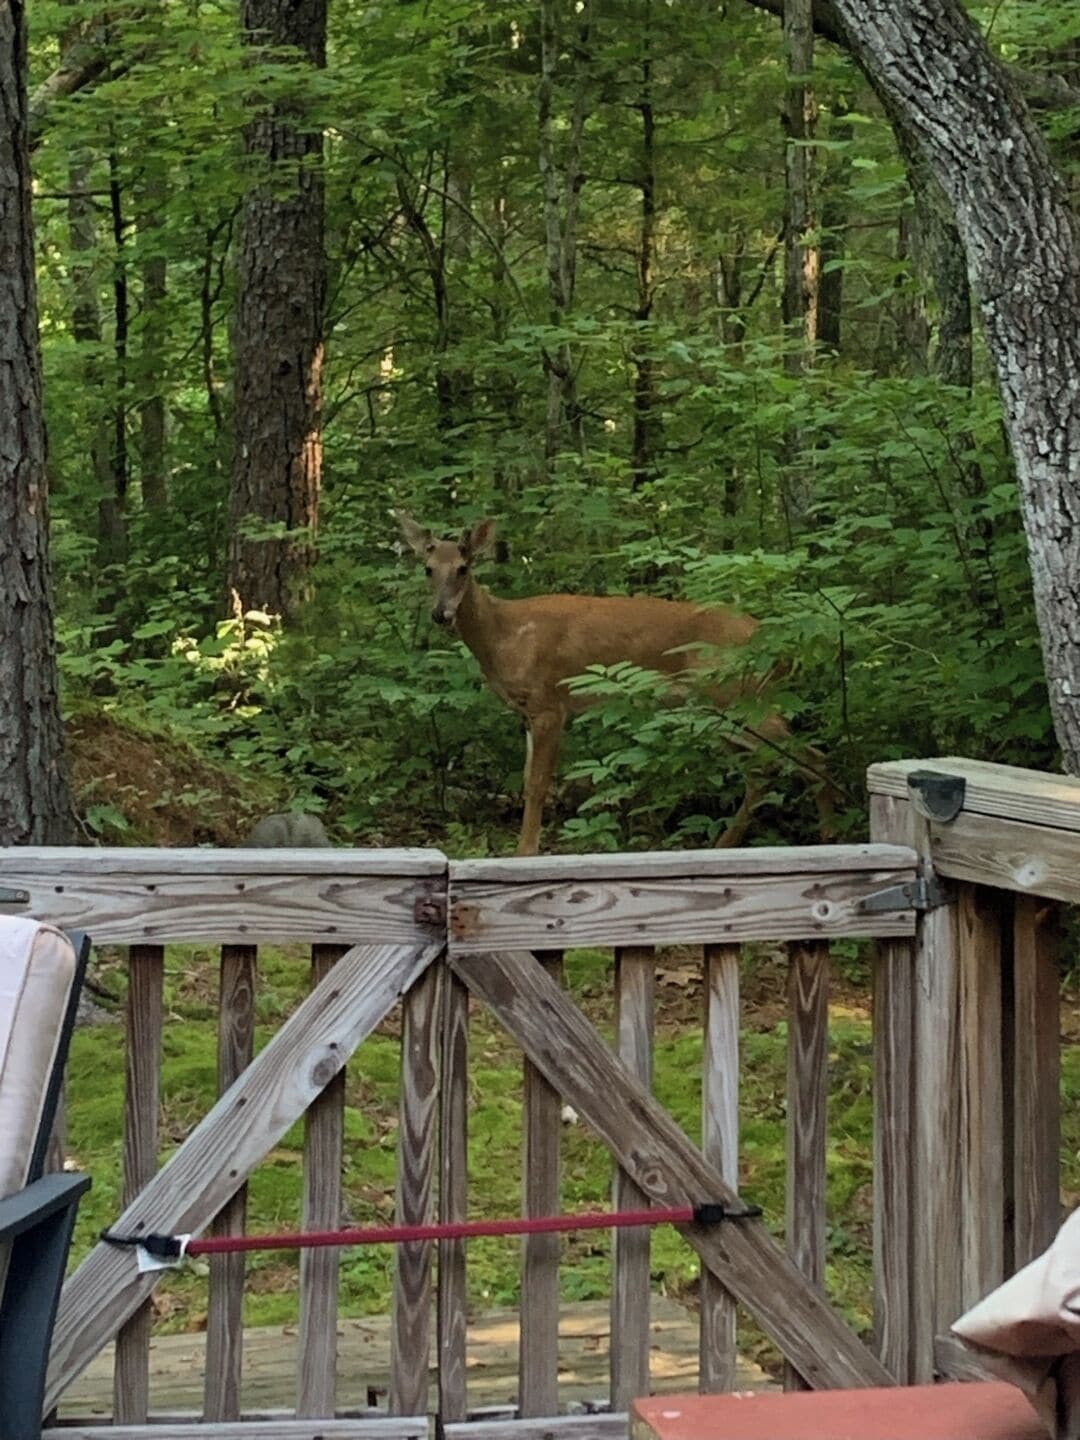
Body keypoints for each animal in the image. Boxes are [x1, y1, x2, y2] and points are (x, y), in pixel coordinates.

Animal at [395, 511, 835, 855]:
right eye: (428, 569)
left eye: (464, 568)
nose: (440, 614)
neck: (506, 636)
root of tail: (781, 647)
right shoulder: (525, 713)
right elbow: (526, 780)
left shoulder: (550, 704)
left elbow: (537, 785)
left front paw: (525, 852)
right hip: (719, 708)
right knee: (762, 773)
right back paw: (725, 845)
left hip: (739, 694)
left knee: (811, 757)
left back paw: (829, 836)